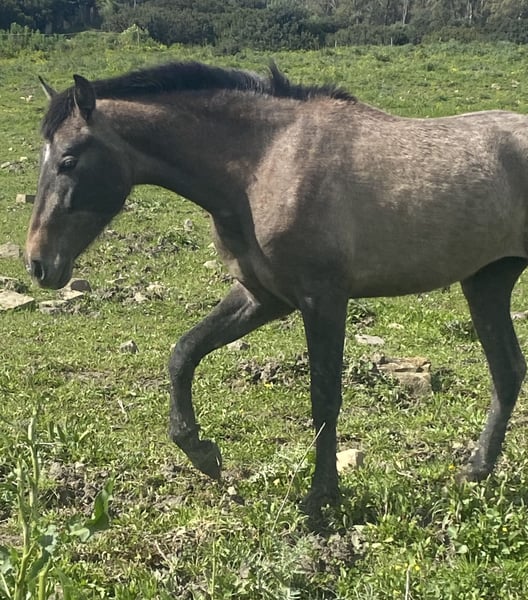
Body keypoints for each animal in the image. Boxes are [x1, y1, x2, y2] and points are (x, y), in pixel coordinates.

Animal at [26, 61, 528, 512]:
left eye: (69, 159)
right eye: (43, 159)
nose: (37, 263)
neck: (266, 163)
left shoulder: (322, 299)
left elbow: (324, 397)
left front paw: (320, 500)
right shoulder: (262, 296)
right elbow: (183, 353)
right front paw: (202, 452)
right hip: (487, 282)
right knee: (507, 371)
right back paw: (474, 472)